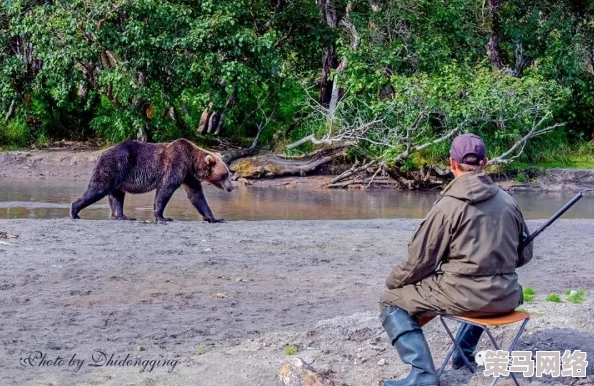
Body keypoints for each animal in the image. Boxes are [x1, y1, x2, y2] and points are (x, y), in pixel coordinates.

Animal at [70, 139, 232, 223]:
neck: (191, 162)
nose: (231, 187)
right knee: (98, 188)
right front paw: (163, 217)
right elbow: (165, 189)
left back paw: (123, 216)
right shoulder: (176, 164)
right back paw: (74, 211)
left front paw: (214, 218)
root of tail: (101, 154)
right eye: (225, 175)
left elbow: (197, 195)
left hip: (119, 175)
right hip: (114, 166)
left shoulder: (188, 176)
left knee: (117, 195)